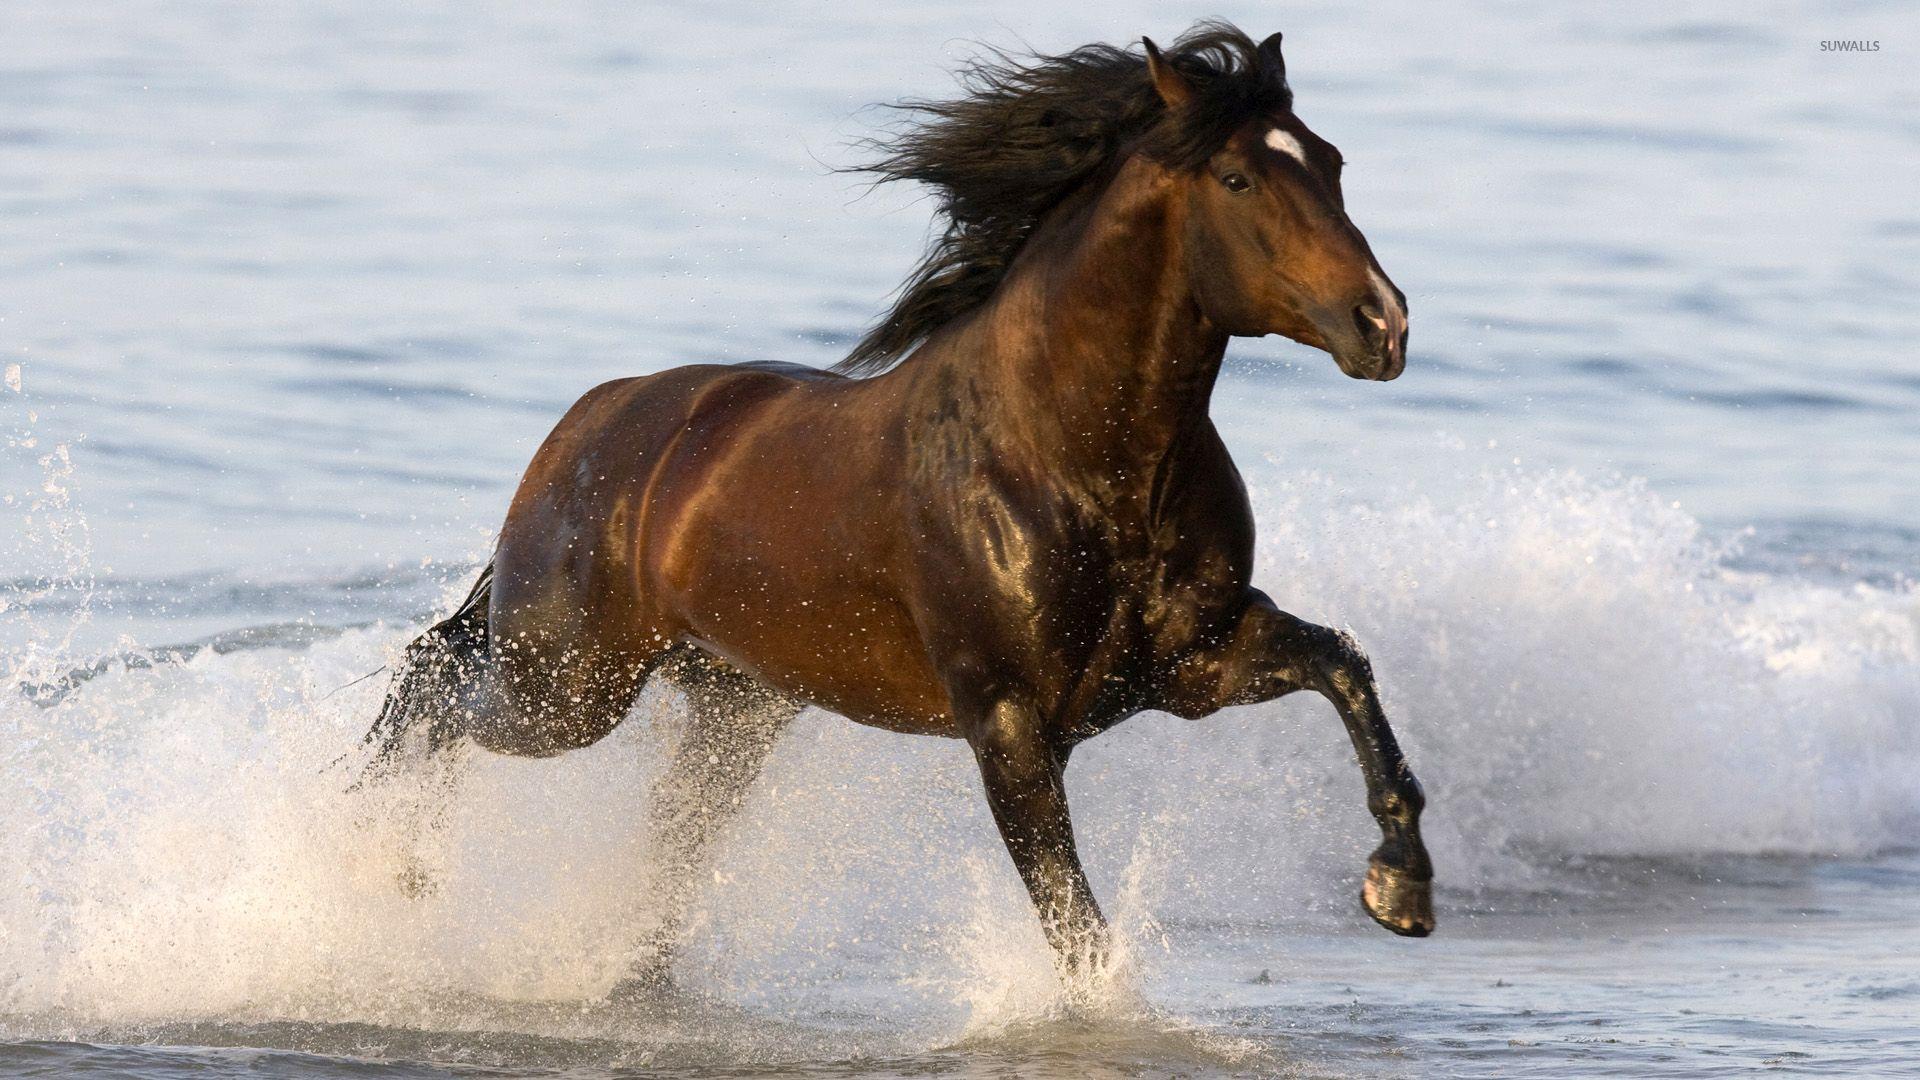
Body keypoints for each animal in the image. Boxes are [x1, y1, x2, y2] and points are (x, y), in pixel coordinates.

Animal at [363, 21, 1432, 990]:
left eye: (1332, 162)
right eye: (1239, 180)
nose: (1382, 325)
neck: (1070, 459)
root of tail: (590, 420)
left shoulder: (1192, 666)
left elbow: (1343, 664)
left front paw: (1401, 889)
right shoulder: (1008, 724)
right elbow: (1075, 927)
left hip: (732, 705)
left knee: (661, 828)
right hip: (569, 682)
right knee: (433, 686)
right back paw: (392, 873)